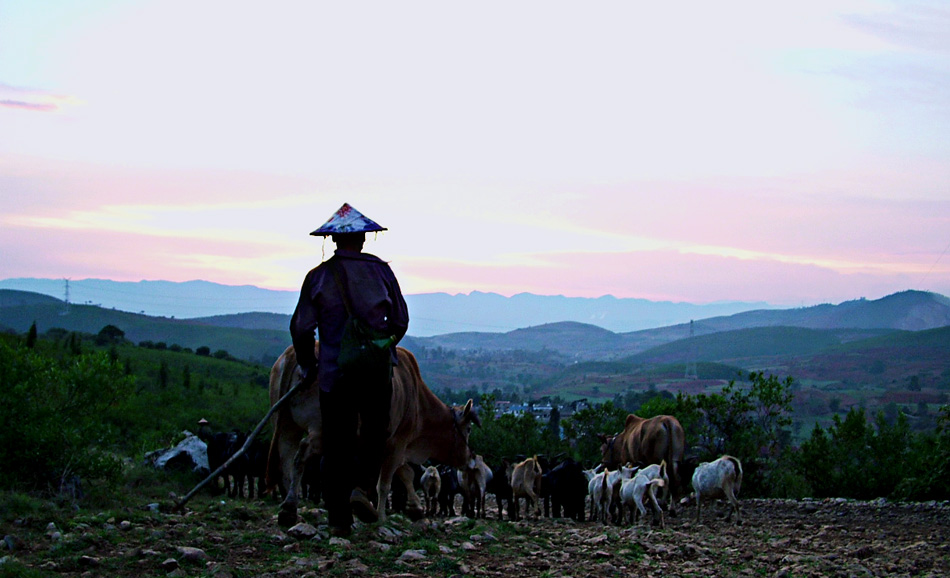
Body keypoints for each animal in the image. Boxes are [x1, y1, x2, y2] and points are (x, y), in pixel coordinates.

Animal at [264, 344, 480, 524]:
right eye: (468, 429)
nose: (471, 458)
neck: (418, 400)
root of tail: (292, 354)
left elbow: (405, 474)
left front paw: (414, 508)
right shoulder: (396, 442)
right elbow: (384, 482)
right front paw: (381, 516)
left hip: (286, 424)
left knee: (286, 457)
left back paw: (289, 507)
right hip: (324, 429)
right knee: (301, 454)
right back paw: (291, 504)